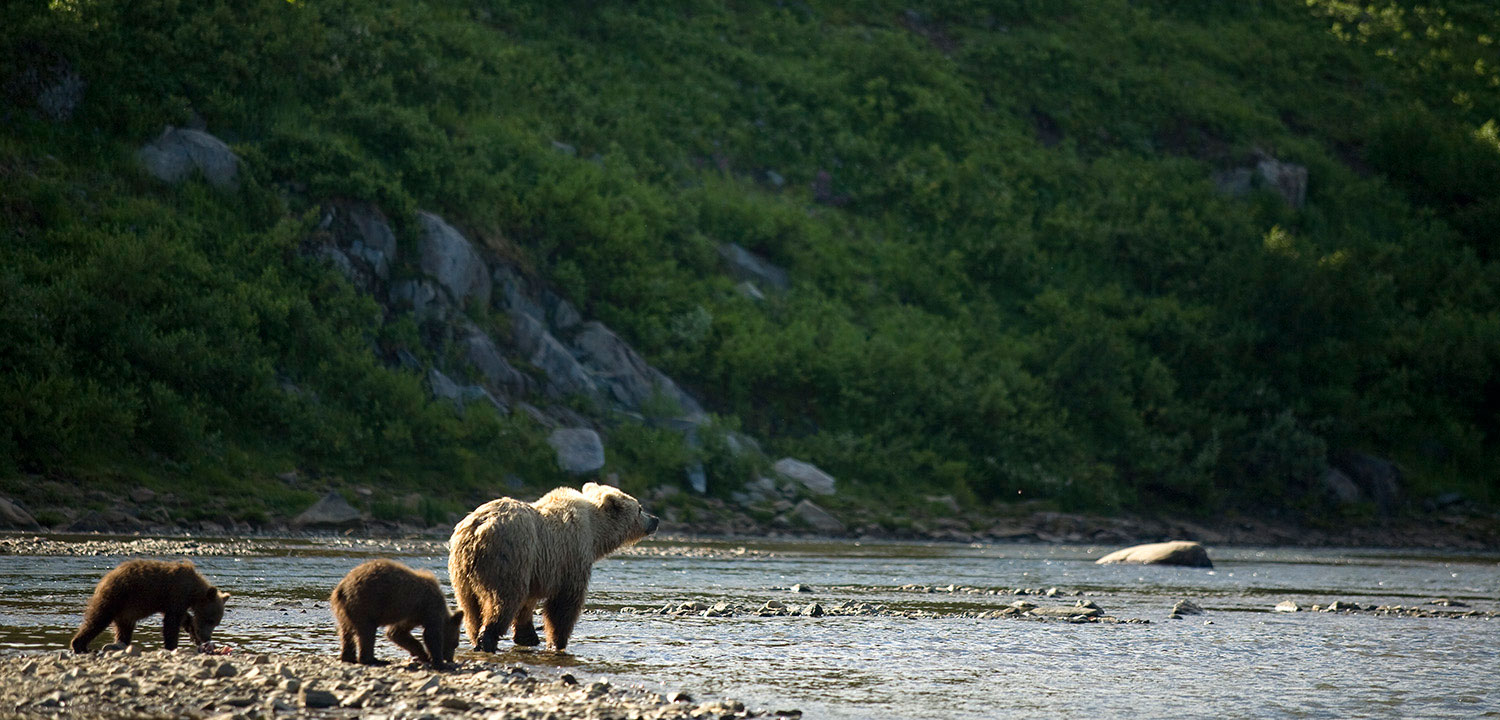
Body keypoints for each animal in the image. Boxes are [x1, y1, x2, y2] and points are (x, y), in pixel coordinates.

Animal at [71, 558, 231, 654]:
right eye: (210, 620)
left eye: (216, 623)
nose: (206, 637)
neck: (193, 591)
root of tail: (104, 579)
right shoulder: (177, 593)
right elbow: (171, 622)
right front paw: (172, 645)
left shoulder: (172, 601)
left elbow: (182, 617)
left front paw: (191, 630)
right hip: (116, 597)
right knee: (97, 619)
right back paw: (81, 646)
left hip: (126, 611)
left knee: (123, 629)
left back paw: (121, 644)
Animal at [330, 558, 459, 669]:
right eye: (455, 643)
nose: (450, 659)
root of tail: (341, 588)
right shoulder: (429, 607)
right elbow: (431, 635)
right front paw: (439, 662)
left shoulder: (410, 615)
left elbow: (397, 633)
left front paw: (423, 655)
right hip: (365, 603)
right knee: (366, 632)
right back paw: (373, 660)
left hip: (343, 610)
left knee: (346, 633)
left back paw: (348, 657)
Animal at [444, 483, 657, 654]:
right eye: (640, 508)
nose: (655, 519)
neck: (594, 534)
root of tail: (475, 530)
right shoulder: (570, 558)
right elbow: (563, 604)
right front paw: (557, 642)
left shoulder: (535, 569)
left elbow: (527, 603)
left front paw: (527, 637)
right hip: (506, 558)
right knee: (503, 600)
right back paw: (487, 641)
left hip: (462, 573)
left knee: (471, 609)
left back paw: (476, 638)